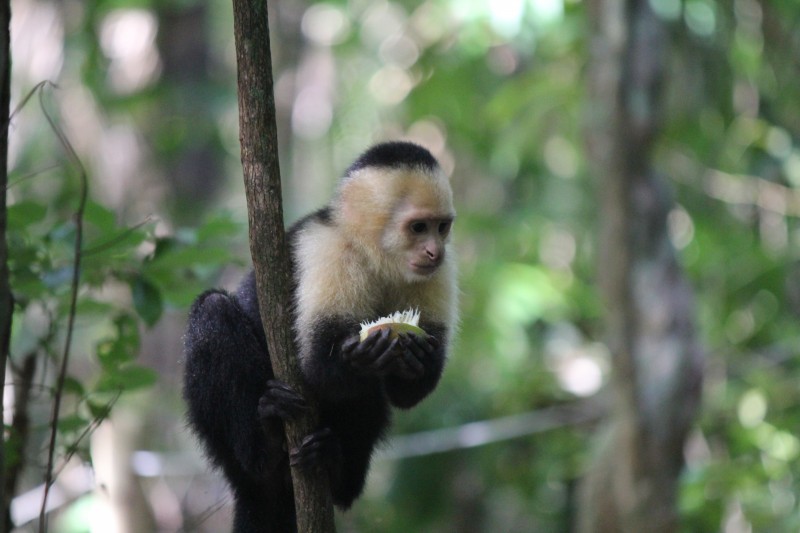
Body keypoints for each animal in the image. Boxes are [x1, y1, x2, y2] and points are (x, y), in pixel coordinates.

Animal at [183, 141, 458, 532]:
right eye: (418, 228)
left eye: (441, 227)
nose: (434, 252)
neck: (374, 256)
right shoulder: (327, 249)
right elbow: (315, 367)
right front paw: (363, 356)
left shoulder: (439, 272)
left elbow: (406, 395)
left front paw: (416, 358)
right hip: (223, 446)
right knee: (213, 311)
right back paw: (264, 444)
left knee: (368, 396)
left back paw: (337, 473)